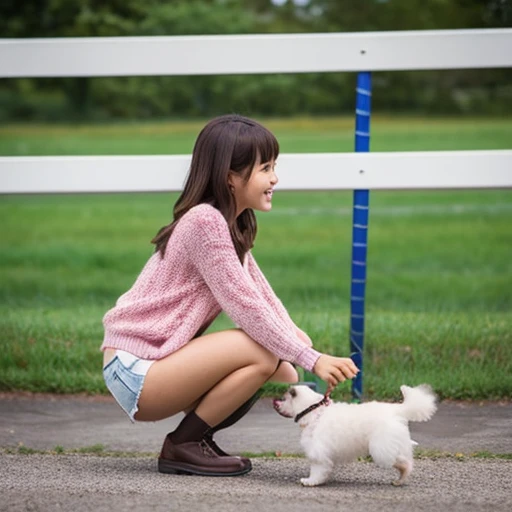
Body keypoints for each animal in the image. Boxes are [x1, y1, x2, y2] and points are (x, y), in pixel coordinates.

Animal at [274, 384, 438, 488]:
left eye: (283, 398)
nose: (275, 401)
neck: (312, 411)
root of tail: (397, 409)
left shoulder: (318, 453)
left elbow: (317, 471)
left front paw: (311, 481)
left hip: (381, 448)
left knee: (405, 463)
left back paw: (402, 477)